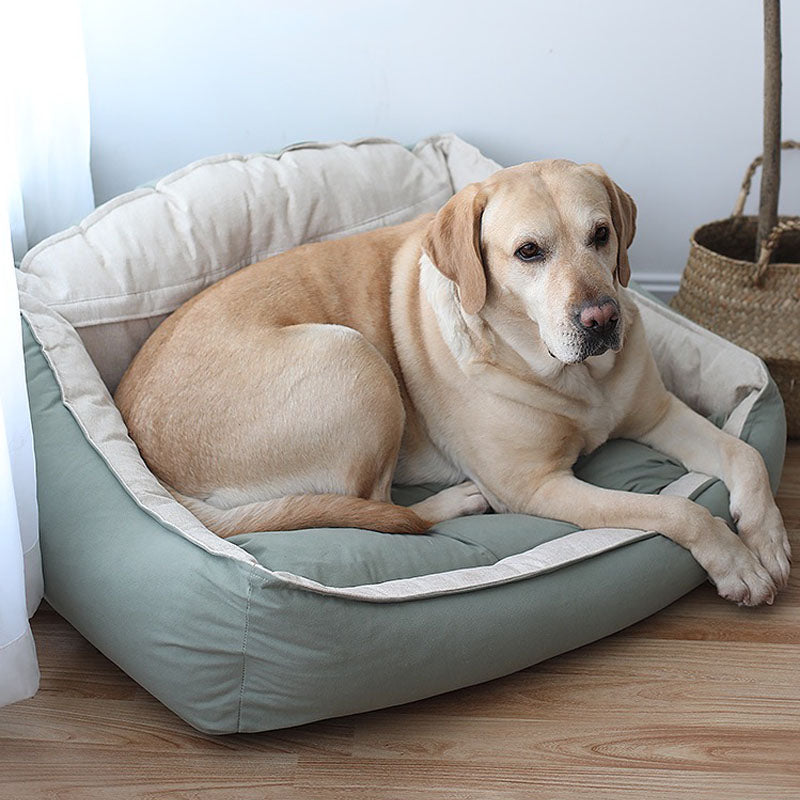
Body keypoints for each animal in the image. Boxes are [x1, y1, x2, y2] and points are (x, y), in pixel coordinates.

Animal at [115, 158, 792, 608]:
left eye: (601, 234)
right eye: (528, 252)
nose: (602, 319)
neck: (574, 379)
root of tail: (157, 469)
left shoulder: (657, 413)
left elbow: (746, 453)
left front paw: (767, 536)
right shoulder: (537, 488)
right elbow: (677, 509)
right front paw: (736, 561)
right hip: (356, 361)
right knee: (376, 503)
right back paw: (457, 502)